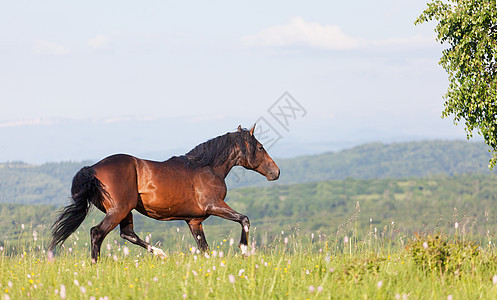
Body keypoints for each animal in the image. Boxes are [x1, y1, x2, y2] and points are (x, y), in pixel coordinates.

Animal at [49, 124, 280, 262]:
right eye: (260, 147)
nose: (276, 172)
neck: (207, 168)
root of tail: (93, 169)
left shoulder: (194, 221)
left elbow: (204, 248)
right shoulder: (214, 205)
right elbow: (244, 219)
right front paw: (244, 250)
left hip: (126, 211)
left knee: (127, 234)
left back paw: (160, 253)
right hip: (118, 210)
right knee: (97, 233)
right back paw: (95, 265)